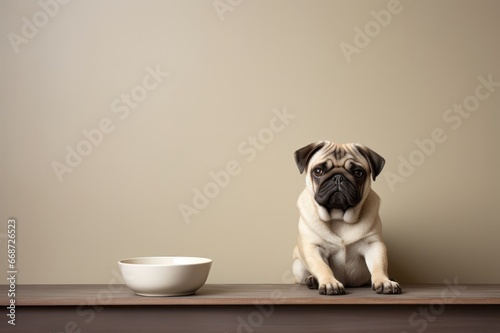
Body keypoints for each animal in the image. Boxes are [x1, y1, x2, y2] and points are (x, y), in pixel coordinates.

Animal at [292, 139, 400, 294]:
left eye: (358, 173)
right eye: (318, 171)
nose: (338, 177)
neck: (339, 217)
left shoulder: (374, 245)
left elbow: (379, 266)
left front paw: (384, 281)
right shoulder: (314, 247)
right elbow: (322, 267)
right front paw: (330, 283)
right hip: (298, 266)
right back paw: (312, 280)